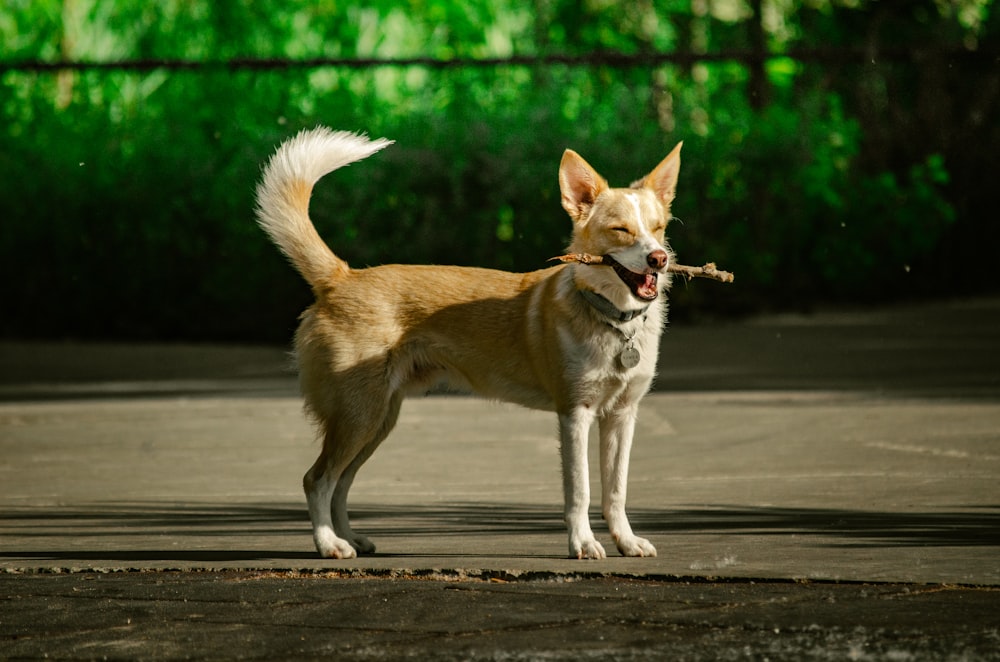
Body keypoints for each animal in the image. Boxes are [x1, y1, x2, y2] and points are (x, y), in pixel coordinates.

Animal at [254, 128, 684, 560]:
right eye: (621, 230)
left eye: (659, 227)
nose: (659, 259)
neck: (613, 321)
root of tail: (341, 277)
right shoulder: (574, 414)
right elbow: (579, 490)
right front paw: (583, 543)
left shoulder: (622, 416)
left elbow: (616, 491)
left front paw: (626, 541)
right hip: (358, 416)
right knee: (317, 480)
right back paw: (329, 543)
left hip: (376, 420)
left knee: (341, 483)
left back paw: (350, 538)